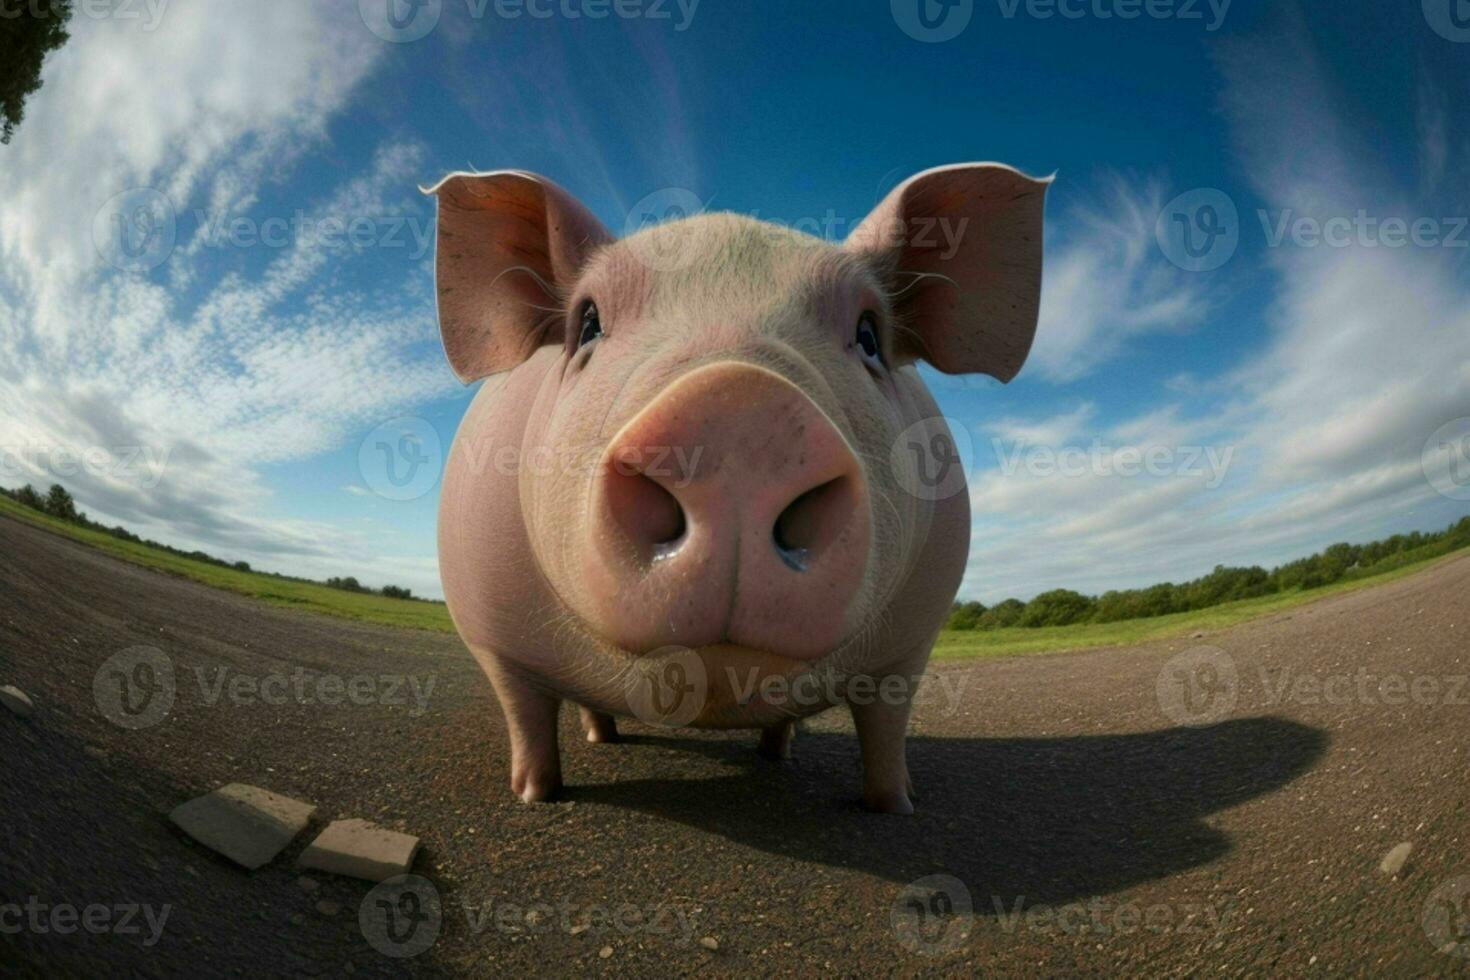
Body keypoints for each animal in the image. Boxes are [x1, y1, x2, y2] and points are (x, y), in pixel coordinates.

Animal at [426, 164, 1046, 816]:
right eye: (587, 323)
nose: (737, 403)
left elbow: (885, 721)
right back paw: (601, 741)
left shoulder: (912, 641)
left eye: (870, 334)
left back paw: (780, 755)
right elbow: (524, 712)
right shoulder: (495, 641)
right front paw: (534, 796)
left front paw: (895, 806)